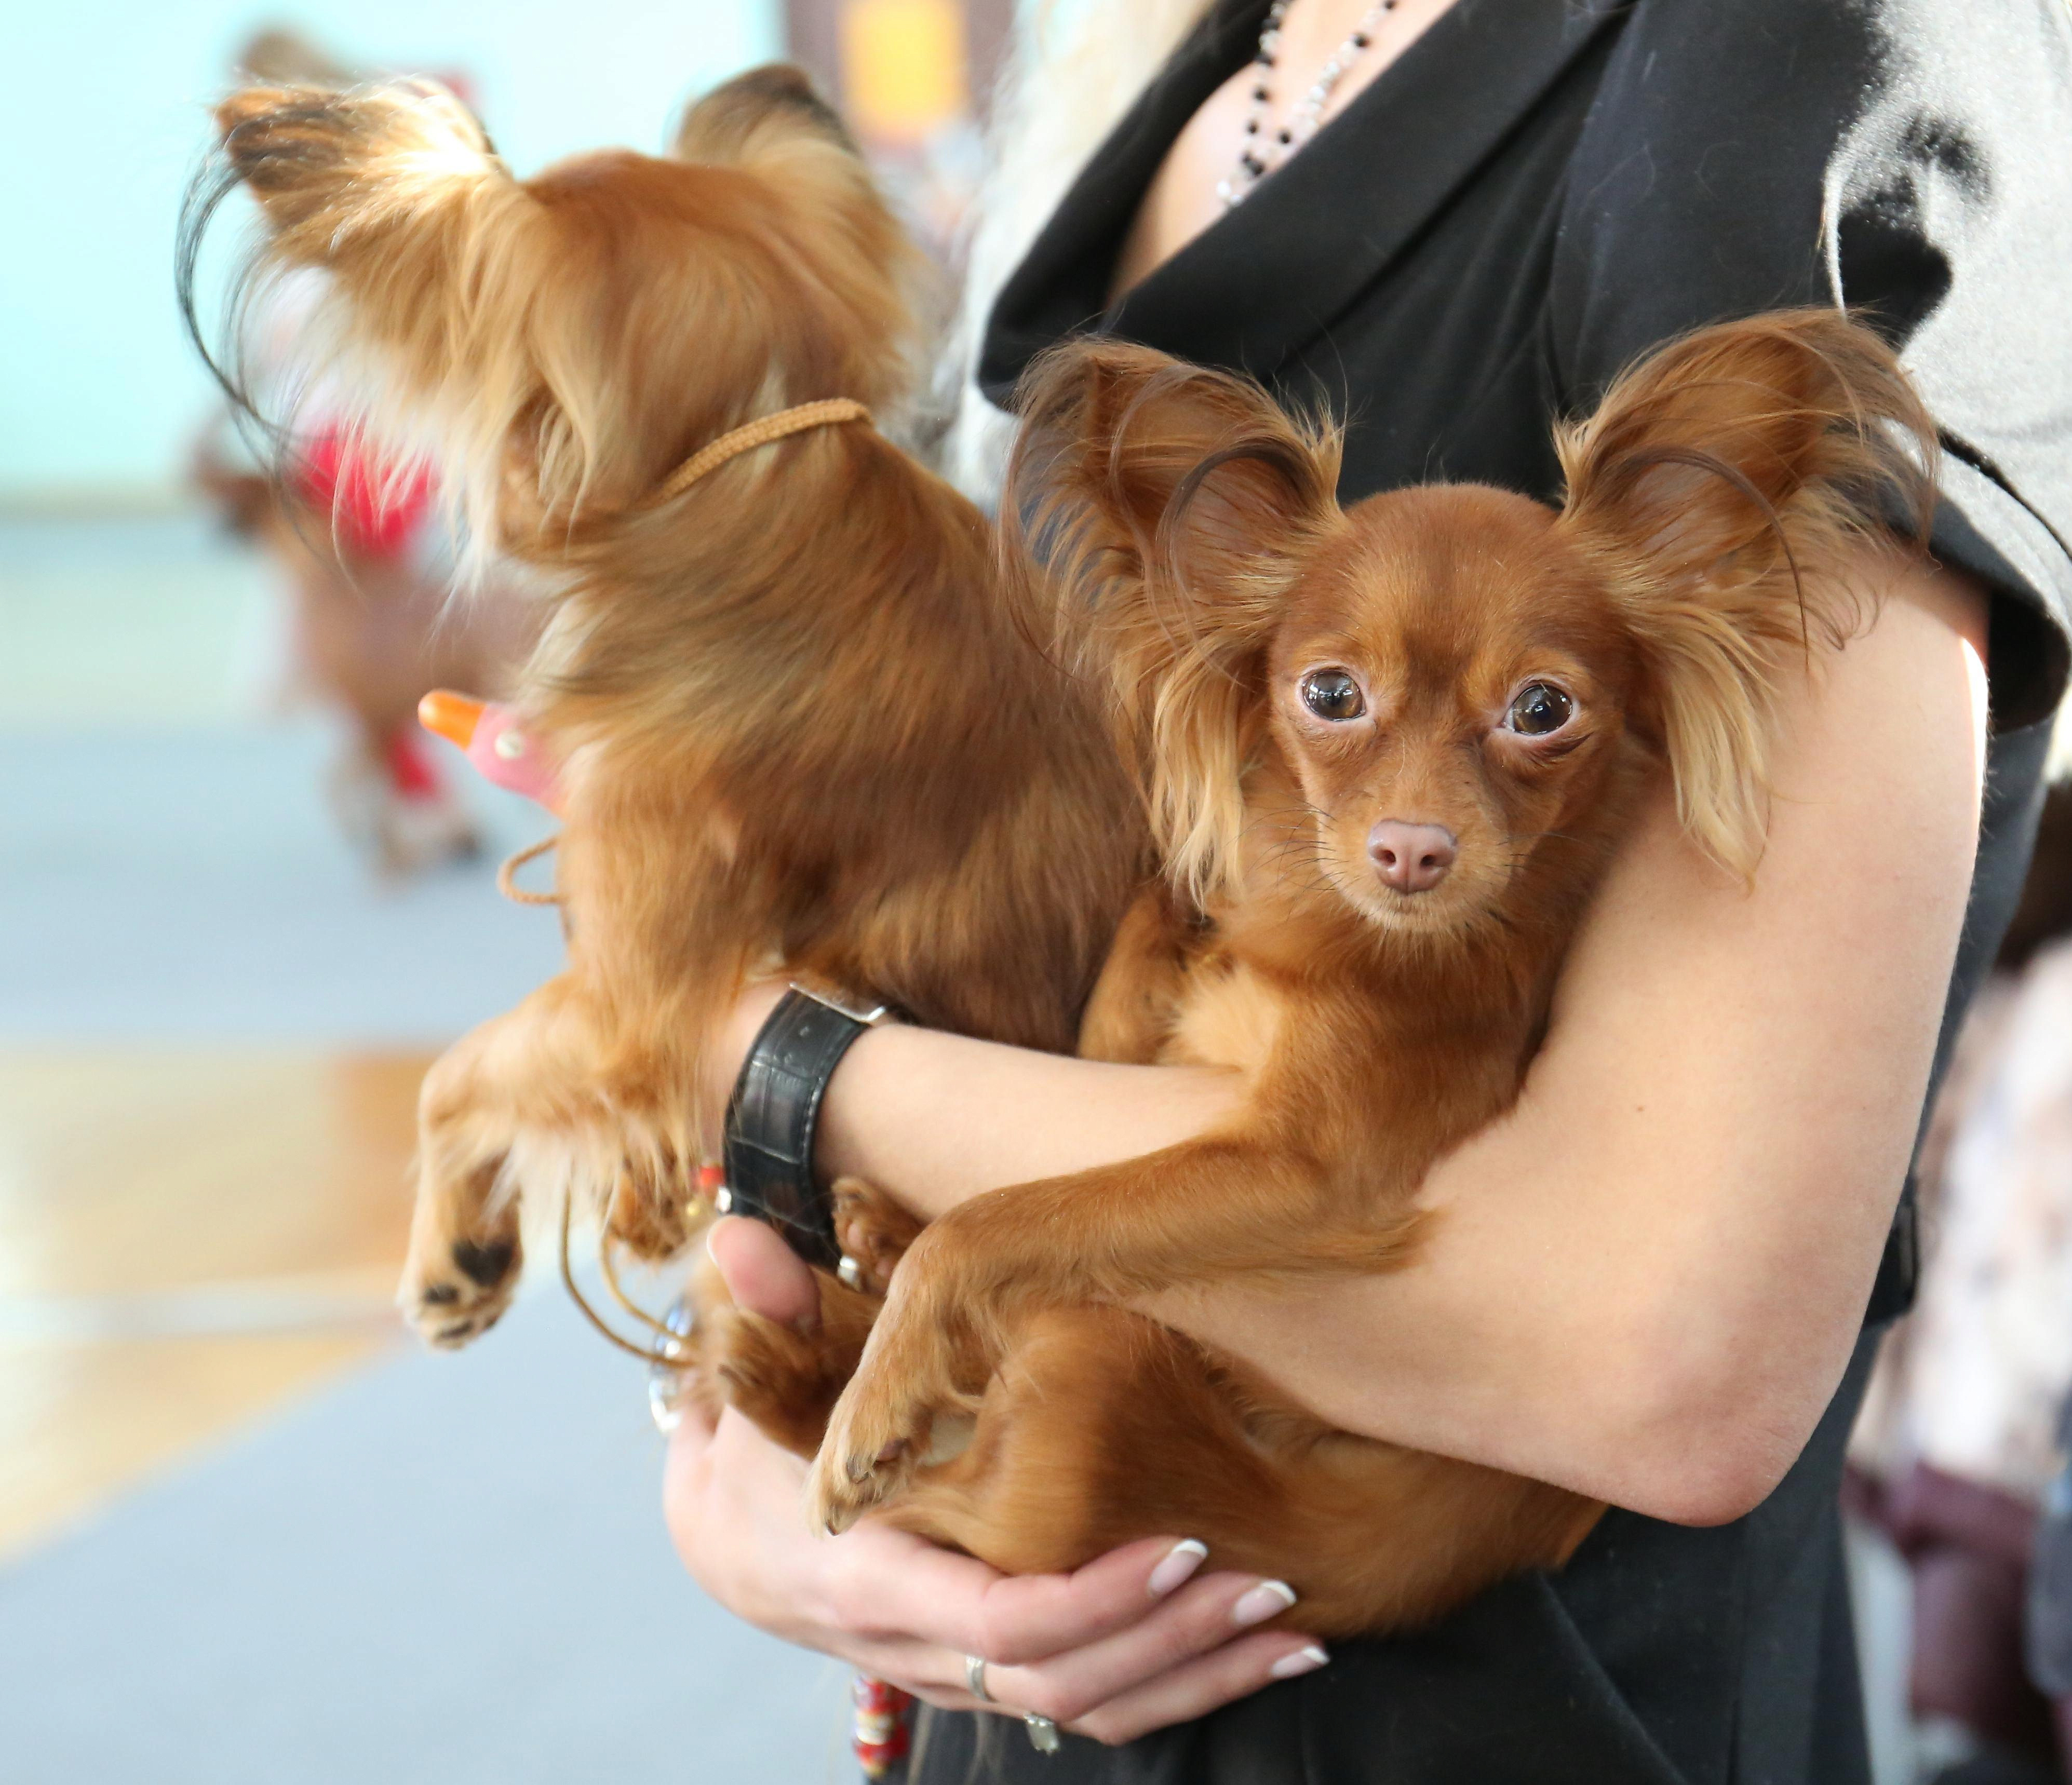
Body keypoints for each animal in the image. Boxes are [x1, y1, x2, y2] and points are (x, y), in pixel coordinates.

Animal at [804, 315, 1922, 1640]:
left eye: (1543, 710)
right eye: (1331, 695)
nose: (1411, 851)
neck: (1324, 937)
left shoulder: (1307, 1165)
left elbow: (1006, 1217)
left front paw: (876, 1403)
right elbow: (1145, 942)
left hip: (1096, 1394)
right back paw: (874, 1232)